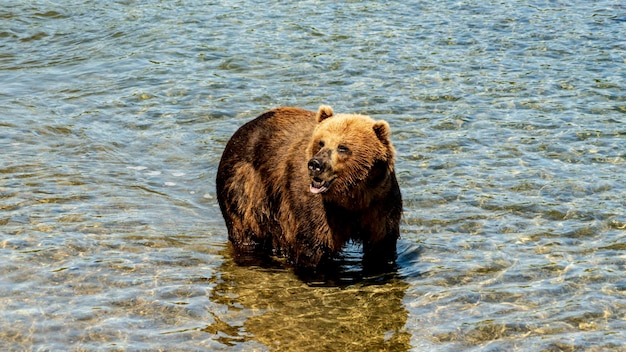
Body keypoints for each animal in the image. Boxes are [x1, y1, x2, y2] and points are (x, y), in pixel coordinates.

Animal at [214, 104, 400, 270]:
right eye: (321, 142)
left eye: (342, 147)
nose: (315, 164)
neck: (351, 196)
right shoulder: (315, 206)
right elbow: (312, 245)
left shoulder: (379, 201)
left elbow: (381, 245)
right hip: (244, 184)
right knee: (244, 228)